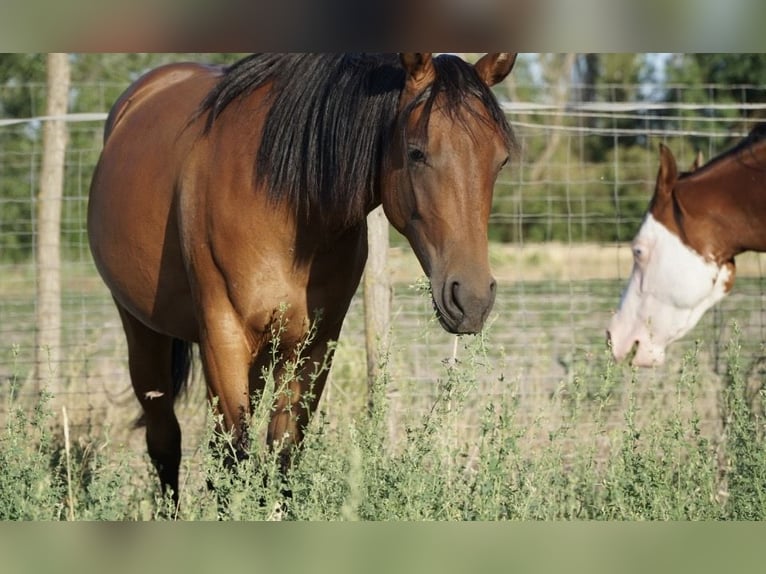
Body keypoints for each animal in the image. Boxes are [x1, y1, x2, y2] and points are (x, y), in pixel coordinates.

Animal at [87, 53, 517, 501]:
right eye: (416, 152)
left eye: (501, 159)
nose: (472, 299)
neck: (286, 204)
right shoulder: (223, 336)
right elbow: (234, 460)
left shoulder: (314, 346)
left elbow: (282, 458)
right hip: (142, 332)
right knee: (165, 440)